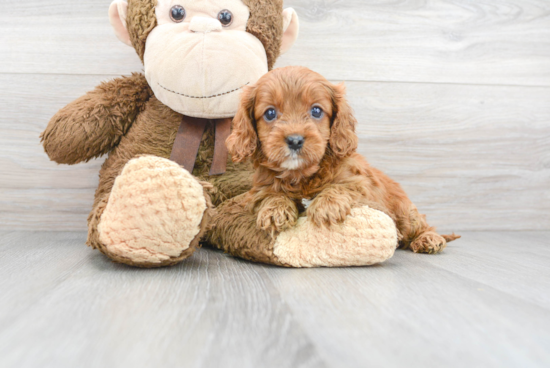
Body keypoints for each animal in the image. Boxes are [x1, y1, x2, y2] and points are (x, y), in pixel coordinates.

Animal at [226, 65, 460, 253]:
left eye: (316, 110)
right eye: (270, 113)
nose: (294, 140)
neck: (302, 175)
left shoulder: (361, 184)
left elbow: (341, 187)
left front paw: (326, 206)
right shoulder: (259, 189)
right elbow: (269, 194)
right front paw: (275, 210)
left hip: (405, 212)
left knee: (421, 226)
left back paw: (429, 239)